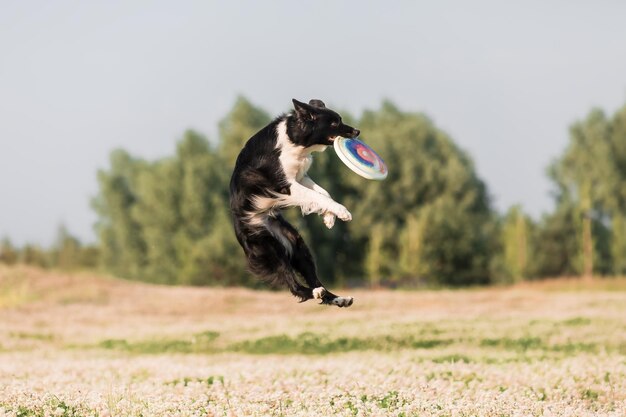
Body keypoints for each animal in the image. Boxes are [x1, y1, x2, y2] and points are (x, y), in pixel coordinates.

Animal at [229, 98, 358, 306]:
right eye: (334, 123)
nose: (357, 131)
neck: (293, 140)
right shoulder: (284, 185)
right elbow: (318, 196)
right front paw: (342, 212)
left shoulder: (301, 176)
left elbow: (324, 193)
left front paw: (329, 218)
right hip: (270, 249)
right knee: (294, 285)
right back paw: (315, 293)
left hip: (297, 245)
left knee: (314, 280)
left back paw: (339, 298)